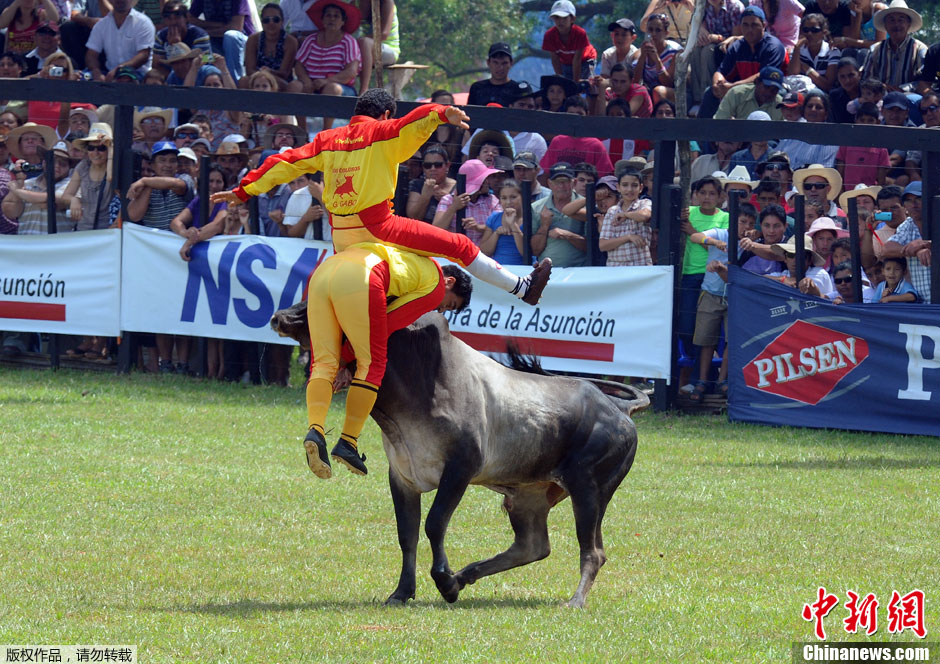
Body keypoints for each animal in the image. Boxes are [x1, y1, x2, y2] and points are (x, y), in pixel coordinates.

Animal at [272, 300, 648, 608]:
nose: (279, 317)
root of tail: (617, 408)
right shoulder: (402, 475)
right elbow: (406, 533)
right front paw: (404, 592)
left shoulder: (460, 469)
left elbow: (434, 523)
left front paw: (444, 582)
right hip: (528, 497)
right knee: (533, 546)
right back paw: (466, 575)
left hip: (589, 490)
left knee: (593, 551)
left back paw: (573, 600)